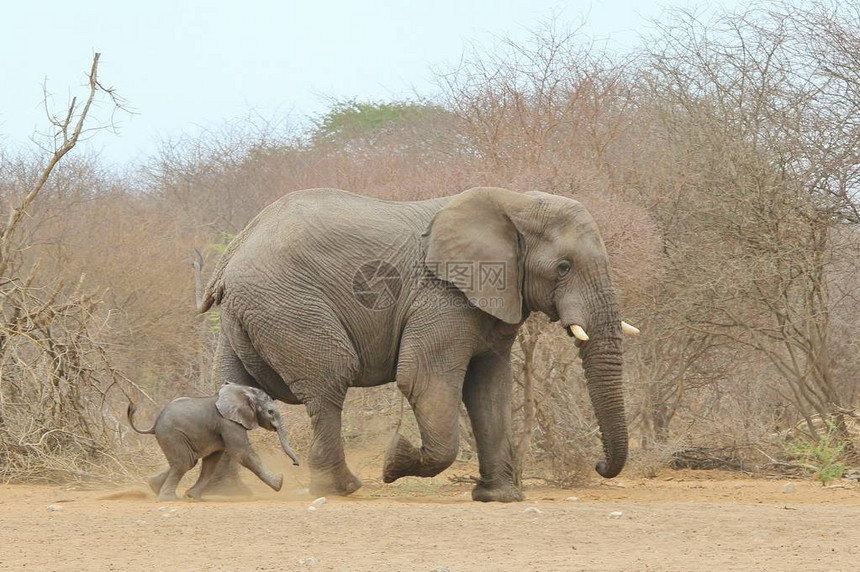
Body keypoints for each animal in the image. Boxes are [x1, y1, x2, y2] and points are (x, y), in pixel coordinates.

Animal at [127, 384, 298, 500]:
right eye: (270, 412)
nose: (295, 464)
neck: (244, 391)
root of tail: (154, 424)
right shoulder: (228, 422)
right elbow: (242, 453)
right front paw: (280, 482)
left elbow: (212, 460)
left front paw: (192, 496)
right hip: (172, 435)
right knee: (184, 462)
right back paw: (168, 499)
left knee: (187, 462)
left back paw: (154, 486)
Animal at [195, 188, 640, 500]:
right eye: (563, 268)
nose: (599, 463)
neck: (515, 202)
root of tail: (232, 252)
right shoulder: (441, 296)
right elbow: (424, 381)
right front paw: (394, 460)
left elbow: (490, 388)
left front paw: (500, 498)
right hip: (288, 305)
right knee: (330, 382)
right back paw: (342, 488)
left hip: (246, 313)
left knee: (229, 386)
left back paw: (226, 494)